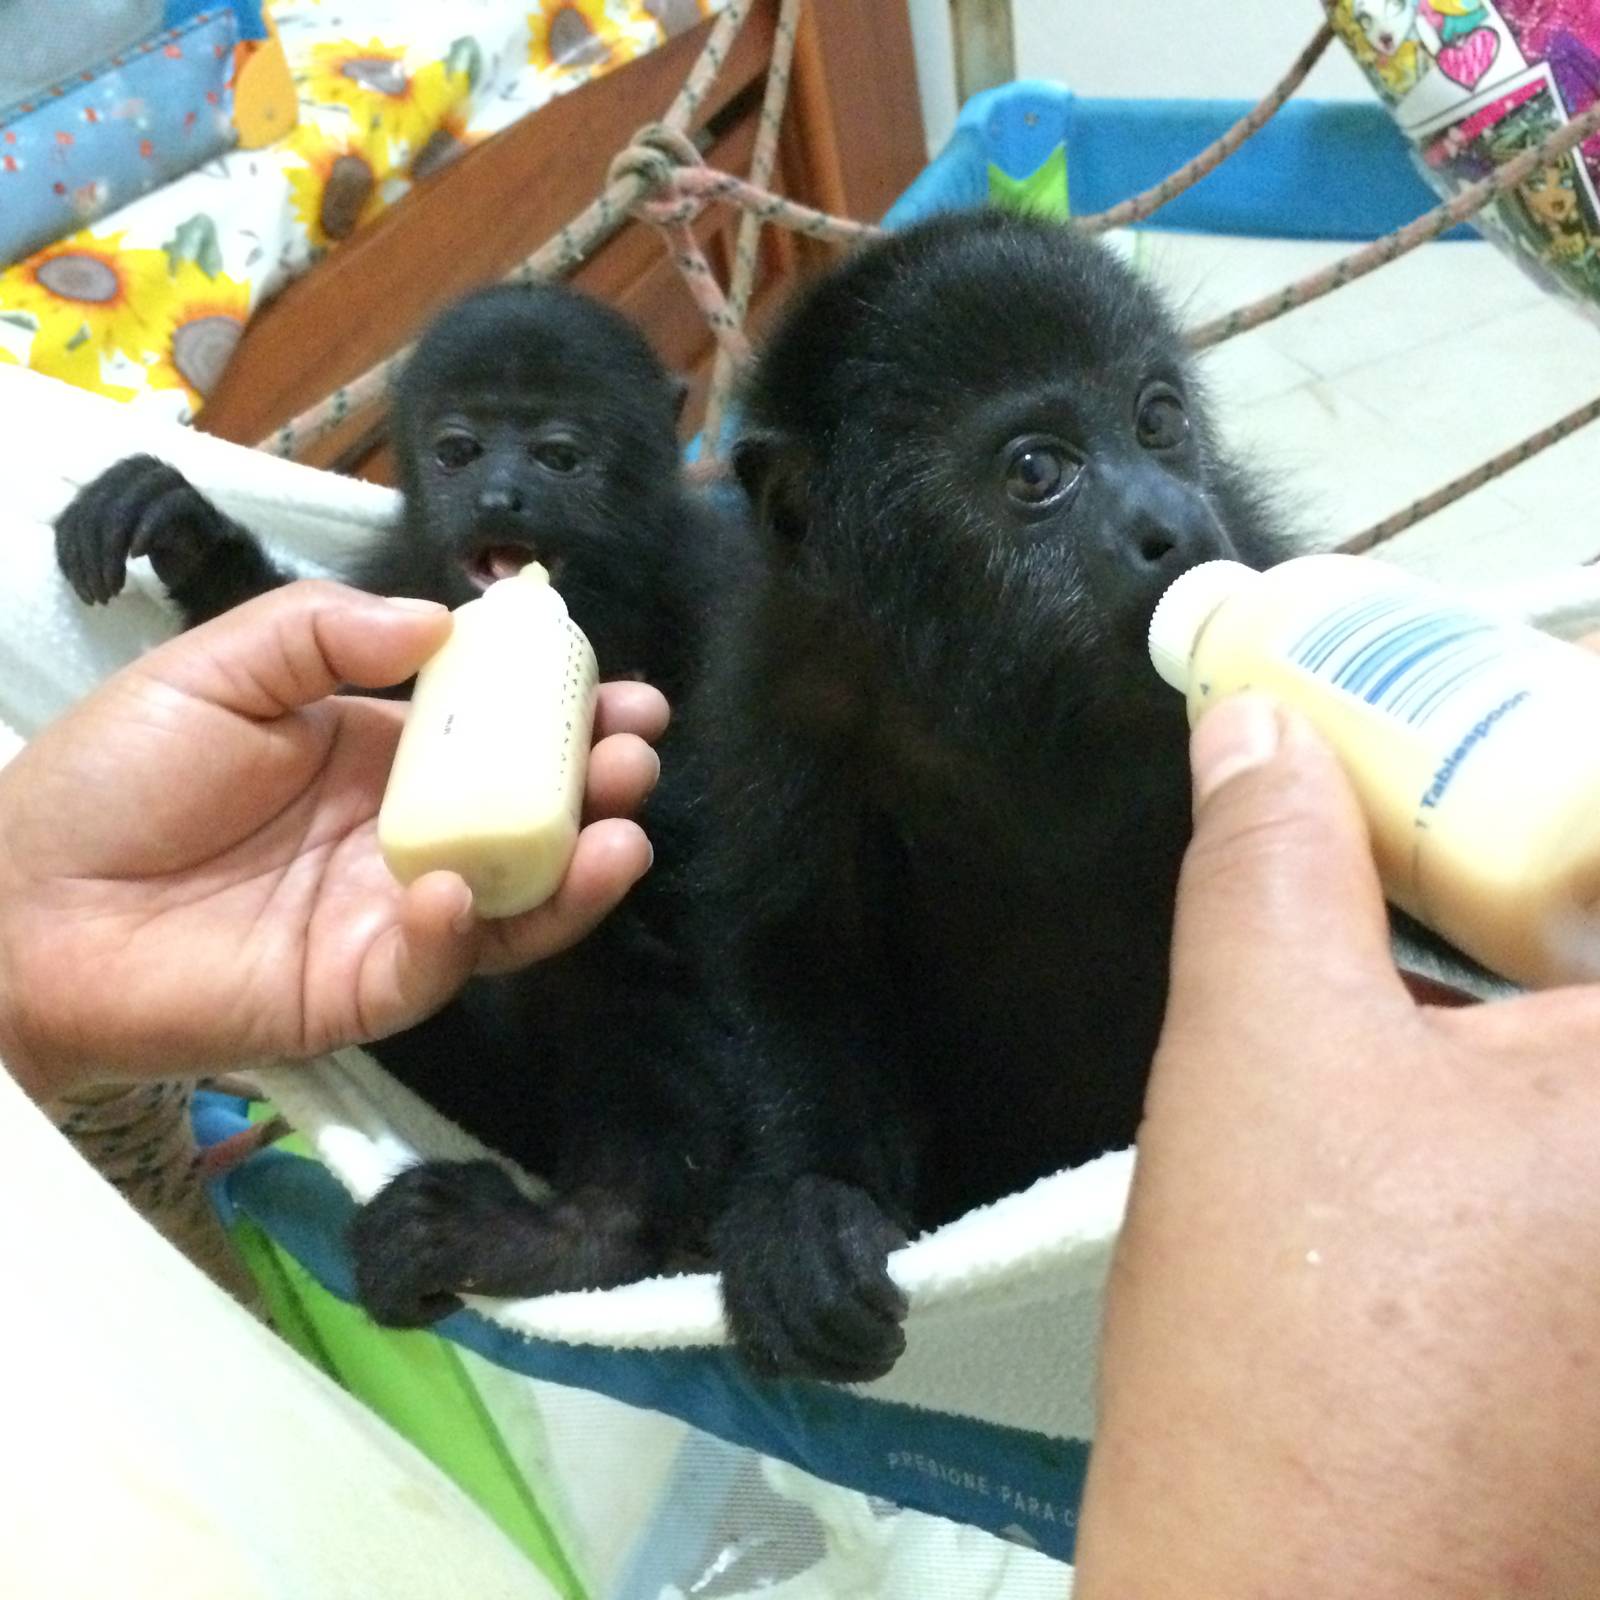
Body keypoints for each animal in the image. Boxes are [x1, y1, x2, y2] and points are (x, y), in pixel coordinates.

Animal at [54, 280, 730, 703]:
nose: (497, 497)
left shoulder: (705, 576)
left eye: (559, 458)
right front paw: (187, 536)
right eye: (457, 454)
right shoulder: (397, 582)